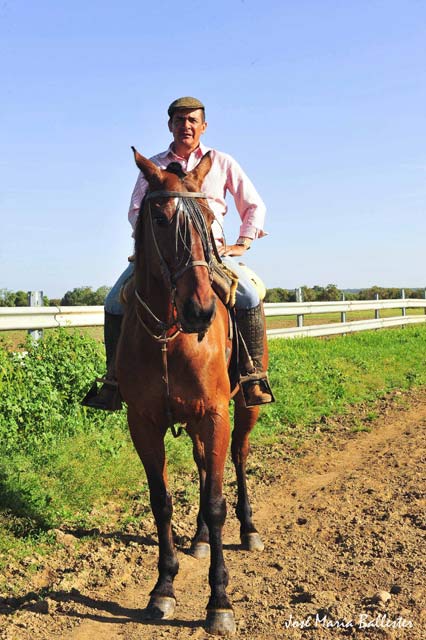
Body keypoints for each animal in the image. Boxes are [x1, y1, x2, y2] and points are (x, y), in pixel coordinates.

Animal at [115, 149, 270, 636]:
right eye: (161, 218)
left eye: (209, 218)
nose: (201, 310)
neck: (170, 334)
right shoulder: (143, 422)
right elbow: (161, 502)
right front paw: (163, 588)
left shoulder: (215, 414)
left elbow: (217, 502)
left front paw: (219, 601)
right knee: (204, 469)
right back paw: (200, 538)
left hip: (244, 409)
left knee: (237, 457)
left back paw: (248, 530)